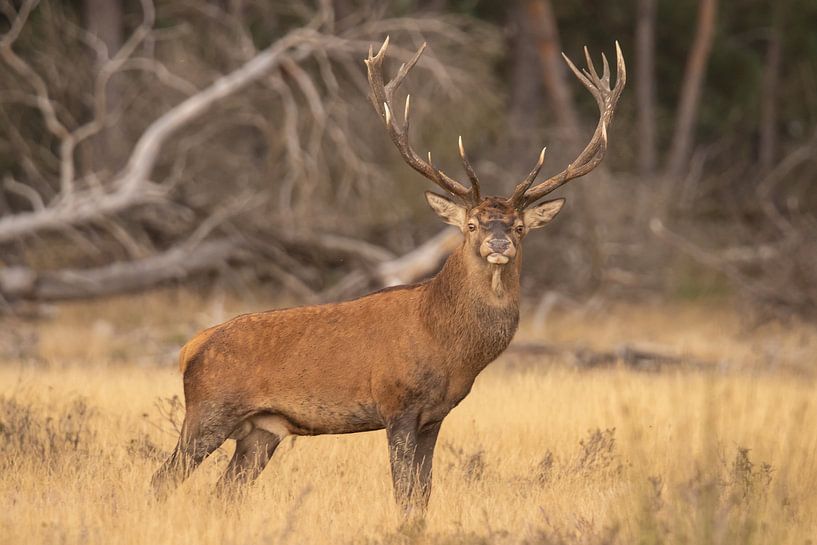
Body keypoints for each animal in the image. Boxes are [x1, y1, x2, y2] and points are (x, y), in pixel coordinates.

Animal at [151, 37, 625, 515]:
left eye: (520, 227)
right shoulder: (396, 403)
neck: (447, 346)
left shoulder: (436, 415)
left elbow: (423, 494)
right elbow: (403, 493)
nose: (498, 243)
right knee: (161, 478)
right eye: (472, 224)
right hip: (209, 411)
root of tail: (190, 347)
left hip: (261, 430)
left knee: (224, 492)